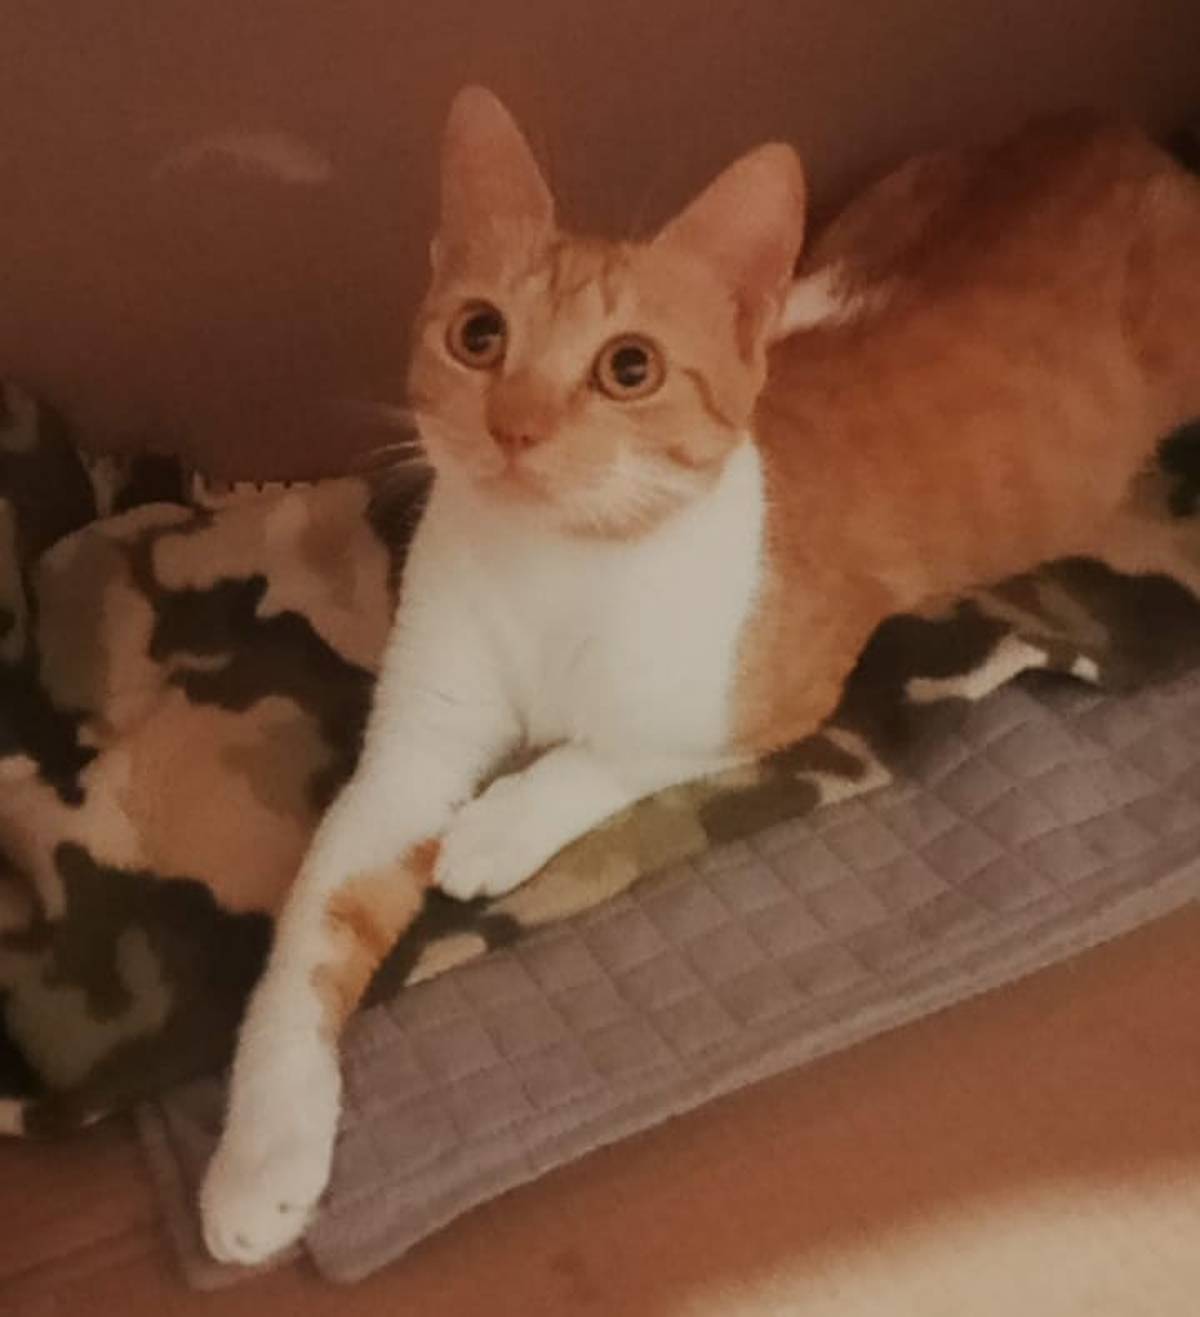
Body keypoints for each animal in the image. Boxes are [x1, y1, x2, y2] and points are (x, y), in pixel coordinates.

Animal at [200, 87, 1200, 1264]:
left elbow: (618, 745)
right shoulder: (412, 754)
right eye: (479, 335)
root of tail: (1111, 130)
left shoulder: (780, 689)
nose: (515, 424)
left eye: (628, 367)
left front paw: (498, 825)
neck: (559, 568)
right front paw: (262, 1159)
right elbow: (312, 931)